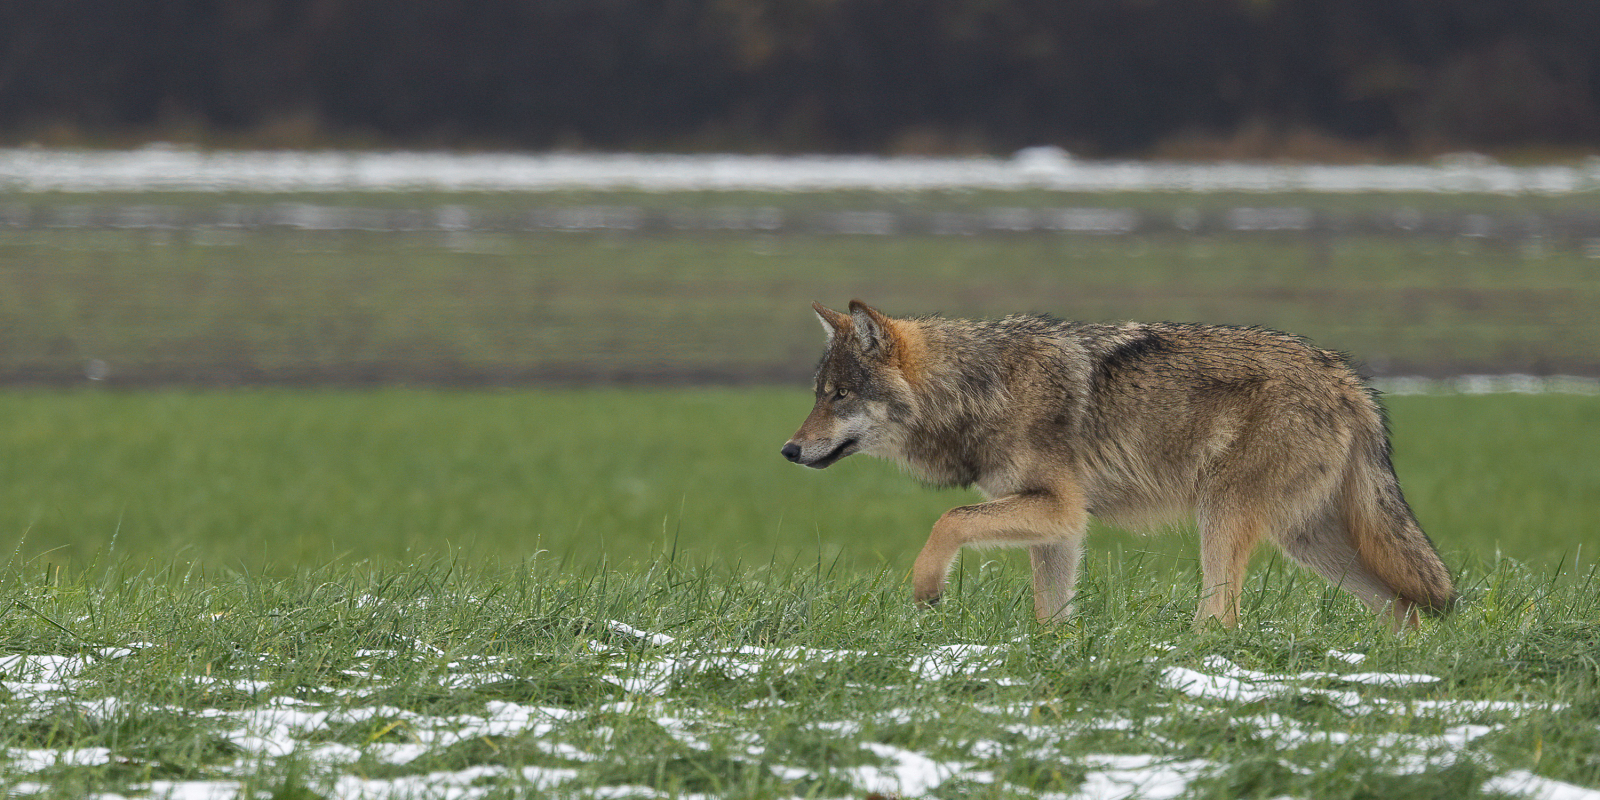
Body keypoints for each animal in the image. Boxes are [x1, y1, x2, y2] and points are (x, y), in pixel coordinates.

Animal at [780, 301, 1455, 629]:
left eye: (840, 395)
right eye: (818, 394)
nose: (788, 451)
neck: (980, 388)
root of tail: (1351, 380)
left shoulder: (1058, 508)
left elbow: (948, 519)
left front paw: (927, 587)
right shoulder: (1059, 528)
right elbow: (1050, 616)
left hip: (1225, 517)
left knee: (1224, 617)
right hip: (1309, 542)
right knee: (1404, 611)